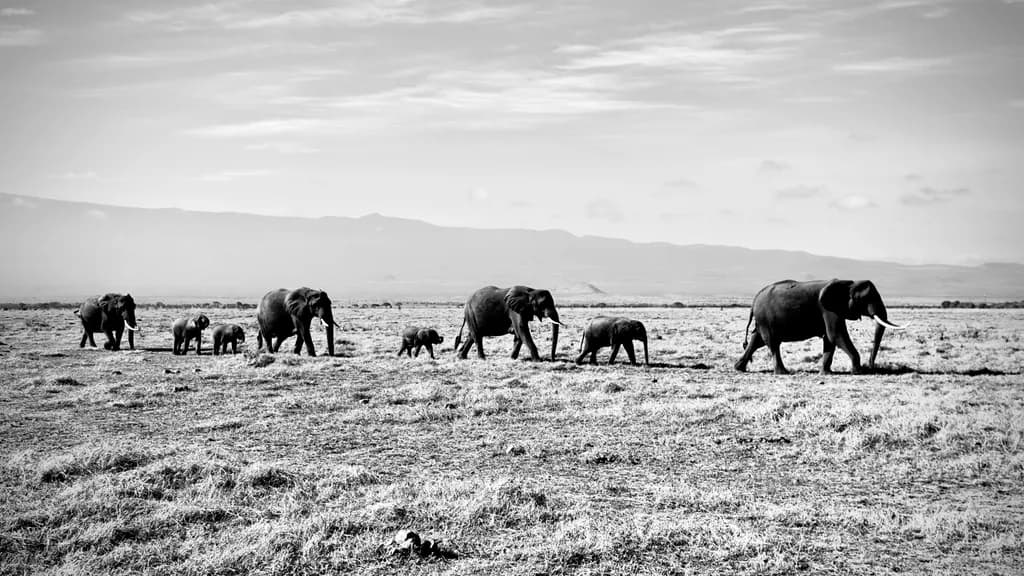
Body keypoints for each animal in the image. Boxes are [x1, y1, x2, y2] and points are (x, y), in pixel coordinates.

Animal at [734, 279, 906, 375]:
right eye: (866, 298)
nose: (871, 367)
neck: (848, 283)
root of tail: (754, 300)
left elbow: (829, 340)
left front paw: (826, 373)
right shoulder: (829, 310)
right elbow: (836, 335)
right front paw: (858, 372)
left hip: (763, 320)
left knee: (757, 340)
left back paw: (738, 368)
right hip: (766, 320)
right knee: (772, 343)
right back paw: (782, 373)